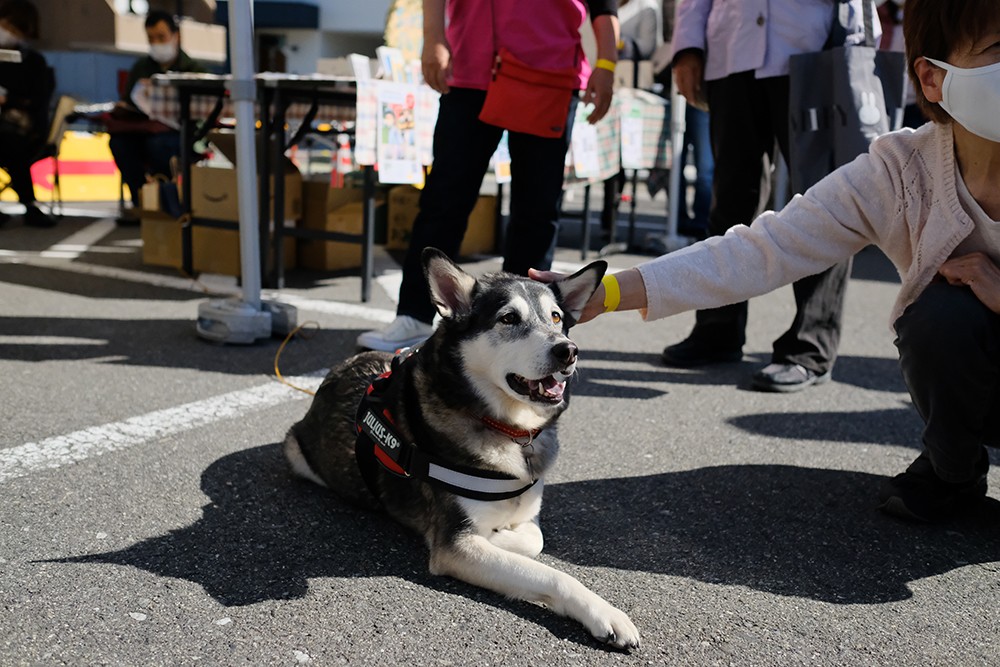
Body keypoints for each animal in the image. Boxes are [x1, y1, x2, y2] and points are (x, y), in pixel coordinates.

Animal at [284, 248, 640, 648]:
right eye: (508, 318)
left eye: (556, 317)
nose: (568, 351)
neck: (508, 430)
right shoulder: (454, 547)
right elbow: (550, 573)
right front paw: (604, 614)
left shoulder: (522, 517)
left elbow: (534, 538)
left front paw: (503, 534)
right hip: (295, 451)